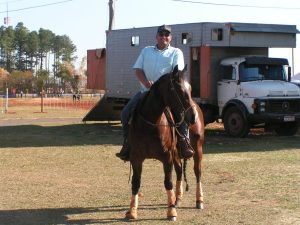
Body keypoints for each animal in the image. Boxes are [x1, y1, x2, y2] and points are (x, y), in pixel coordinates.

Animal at [124, 66, 204, 221]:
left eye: (190, 89)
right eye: (179, 90)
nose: (193, 117)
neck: (150, 124)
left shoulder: (167, 157)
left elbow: (168, 182)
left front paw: (171, 212)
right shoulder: (136, 158)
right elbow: (136, 182)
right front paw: (132, 211)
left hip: (197, 148)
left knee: (197, 172)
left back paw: (199, 200)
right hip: (177, 153)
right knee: (179, 171)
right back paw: (177, 198)